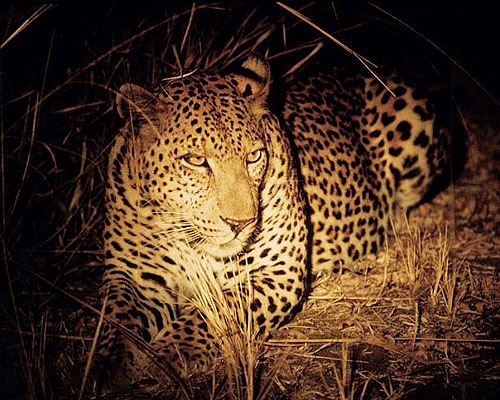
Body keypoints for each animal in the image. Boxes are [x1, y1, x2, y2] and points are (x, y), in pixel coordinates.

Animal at [97, 54, 450, 390]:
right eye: (196, 161)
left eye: (253, 156)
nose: (241, 223)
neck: (189, 236)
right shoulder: (135, 276)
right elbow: (115, 318)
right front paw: (109, 364)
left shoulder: (279, 272)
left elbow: (215, 315)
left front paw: (167, 356)